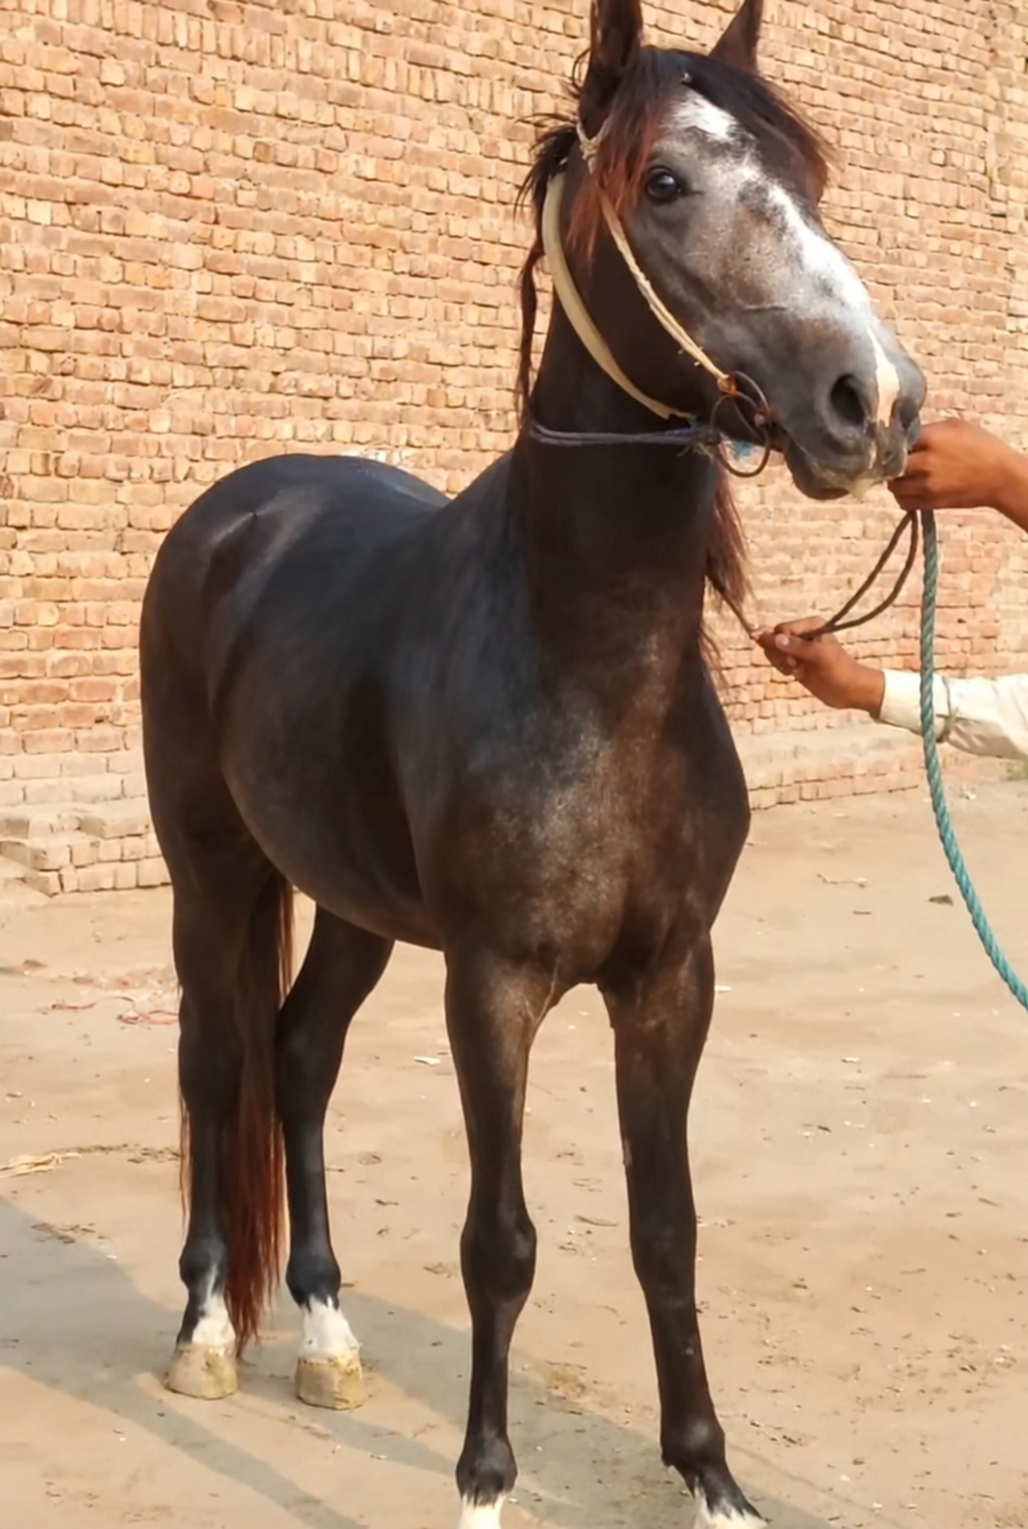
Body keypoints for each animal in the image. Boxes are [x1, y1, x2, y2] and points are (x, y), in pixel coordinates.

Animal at [140, 1, 925, 1523]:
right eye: (665, 181)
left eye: (808, 182)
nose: (873, 403)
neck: (591, 668)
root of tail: (235, 512)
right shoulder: (491, 982)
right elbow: (498, 1240)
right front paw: (484, 1484)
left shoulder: (671, 978)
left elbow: (666, 1227)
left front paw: (711, 1476)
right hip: (211, 870)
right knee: (216, 1063)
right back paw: (206, 1329)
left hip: (351, 906)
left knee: (299, 1058)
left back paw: (324, 1336)